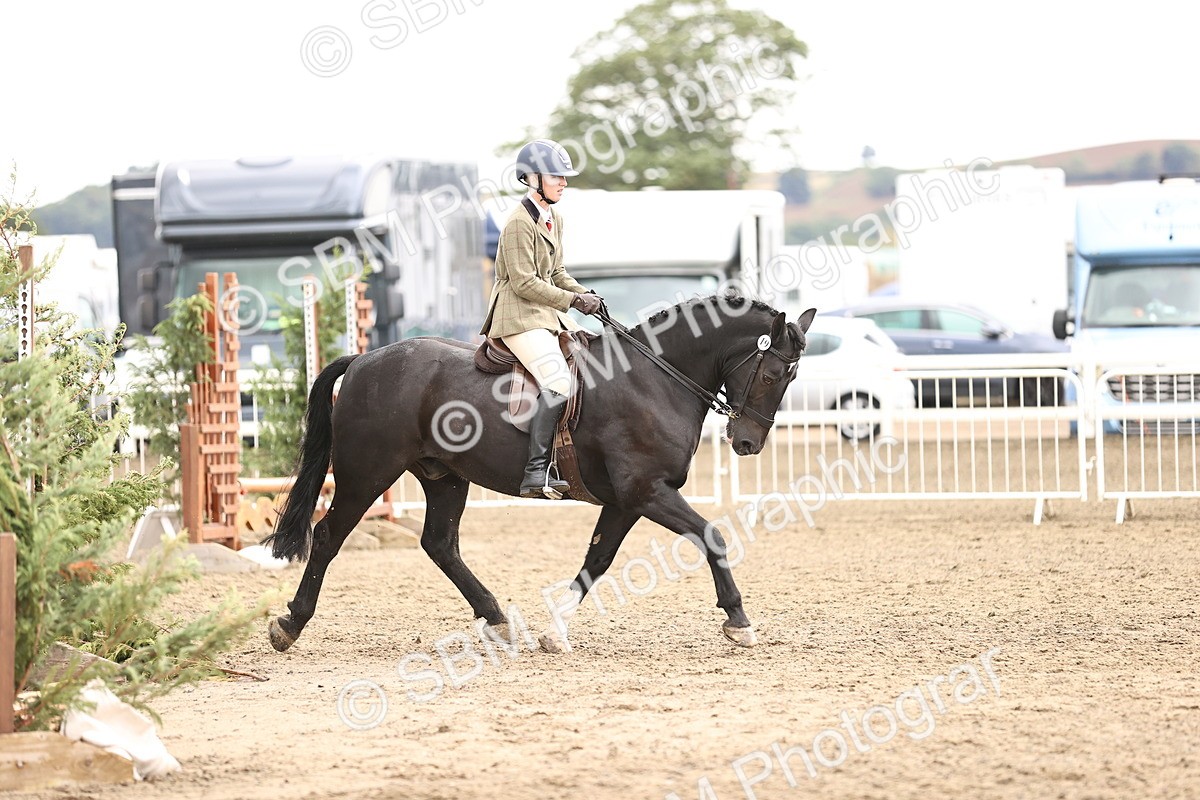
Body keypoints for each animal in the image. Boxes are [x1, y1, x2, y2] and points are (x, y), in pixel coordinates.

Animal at [263, 294, 816, 653]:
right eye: (772, 374)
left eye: (791, 378)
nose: (747, 443)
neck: (654, 379)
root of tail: (364, 360)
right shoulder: (647, 492)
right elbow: (711, 536)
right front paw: (738, 620)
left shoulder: (626, 502)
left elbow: (597, 561)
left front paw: (555, 631)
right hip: (367, 474)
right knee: (328, 536)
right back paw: (290, 624)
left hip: (445, 477)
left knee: (440, 544)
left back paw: (497, 619)